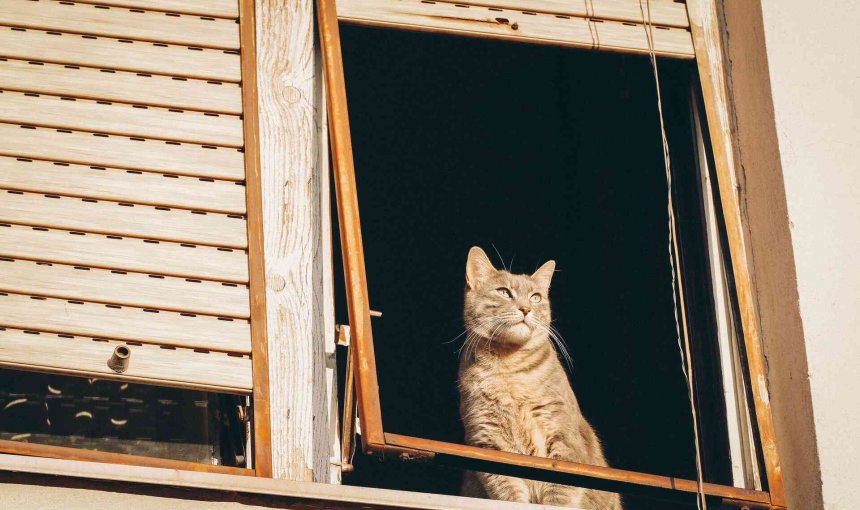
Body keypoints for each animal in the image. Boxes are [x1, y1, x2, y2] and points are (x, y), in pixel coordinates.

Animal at [460, 245, 620, 508]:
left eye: (535, 297)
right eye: (504, 292)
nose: (526, 308)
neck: (509, 369)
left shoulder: (563, 438)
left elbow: (559, 495)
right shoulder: (488, 440)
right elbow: (510, 493)